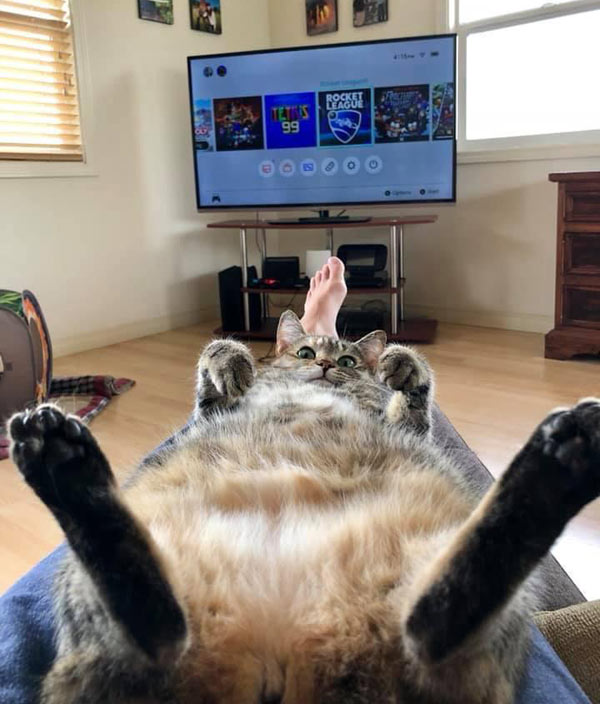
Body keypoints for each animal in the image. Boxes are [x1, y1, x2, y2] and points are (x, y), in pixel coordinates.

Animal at [8, 310, 600, 700]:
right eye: (306, 352)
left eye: (346, 358)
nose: (326, 368)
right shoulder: (211, 412)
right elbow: (213, 365)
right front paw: (230, 359)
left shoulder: (412, 428)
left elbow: (414, 394)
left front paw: (403, 363)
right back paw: (61, 461)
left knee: (435, 630)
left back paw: (559, 467)